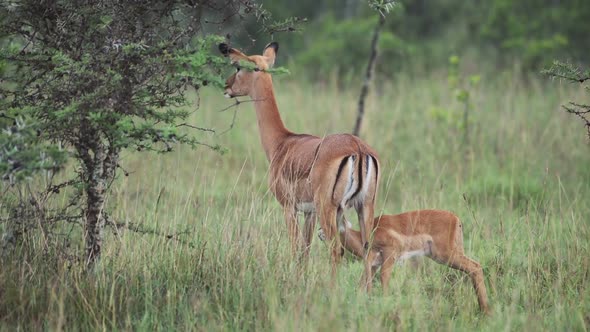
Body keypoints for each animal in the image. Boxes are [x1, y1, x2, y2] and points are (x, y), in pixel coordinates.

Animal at [220, 41, 382, 284]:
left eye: (239, 67)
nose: (227, 85)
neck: (282, 143)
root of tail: (358, 149)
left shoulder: (289, 207)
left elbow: (295, 249)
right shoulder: (309, 212)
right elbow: (305, 251)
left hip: (329, 208)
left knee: (336, 250)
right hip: (364, 206)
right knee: (368, 250)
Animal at [322, 210, 492, 314]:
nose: (321, 233)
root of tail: (456, 219)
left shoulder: (390, 254)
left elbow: (384, 279)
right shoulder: (373, 265)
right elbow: (362, 285)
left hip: (446, 255)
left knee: (475, 267)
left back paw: (485, 311)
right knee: (474, 268)